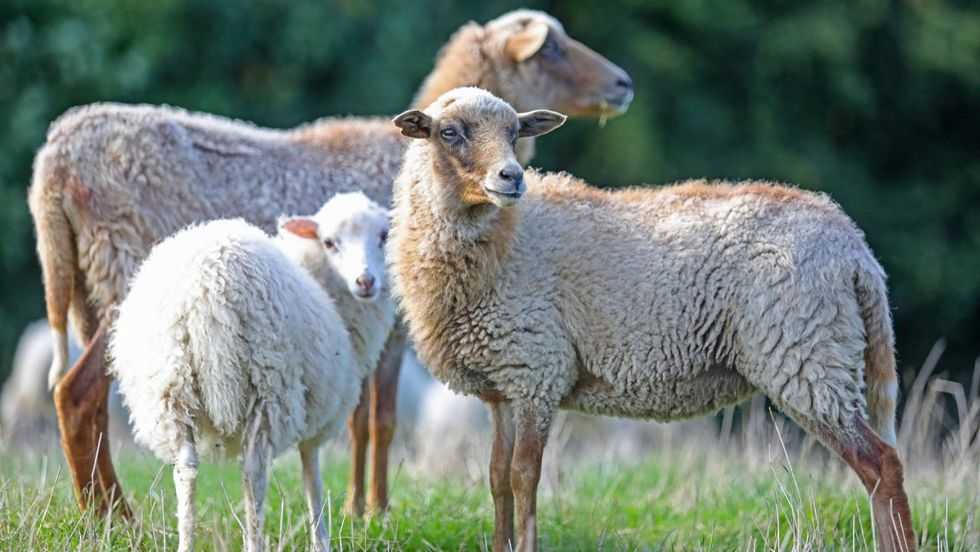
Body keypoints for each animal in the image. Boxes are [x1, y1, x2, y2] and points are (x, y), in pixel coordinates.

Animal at [28, 7, 636, 512]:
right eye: (550, 49)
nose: (623, 84)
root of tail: (54, 159)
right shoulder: (392, 317)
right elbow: (381, 420)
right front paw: (377, 510)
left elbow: (359, 419)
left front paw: (355, 506)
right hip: (119, 272)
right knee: (75, 394)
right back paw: (111, 517)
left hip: (83, 283)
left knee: (90, 402)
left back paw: (103, 509)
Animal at [108, 191, 394, 552]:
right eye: (330, 242)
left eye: (383, 236)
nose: (365, 281)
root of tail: (207, 291)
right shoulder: (316, 419)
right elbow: (312, 477)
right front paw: (321, 540)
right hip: (268, 384)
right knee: (253, 473)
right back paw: (254, 541)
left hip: (170, 386)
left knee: (186, 468)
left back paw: (186, 539)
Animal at [386, 86, 916, 552]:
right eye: (449, 132)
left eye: (516, 132)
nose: (512, 177)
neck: (502, 240)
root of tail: (856, 249)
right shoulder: (502, 386)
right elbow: (497, 480)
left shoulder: (537, 369)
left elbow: (523, 478)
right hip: (819, 357)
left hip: (808, 355)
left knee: (882, 465)